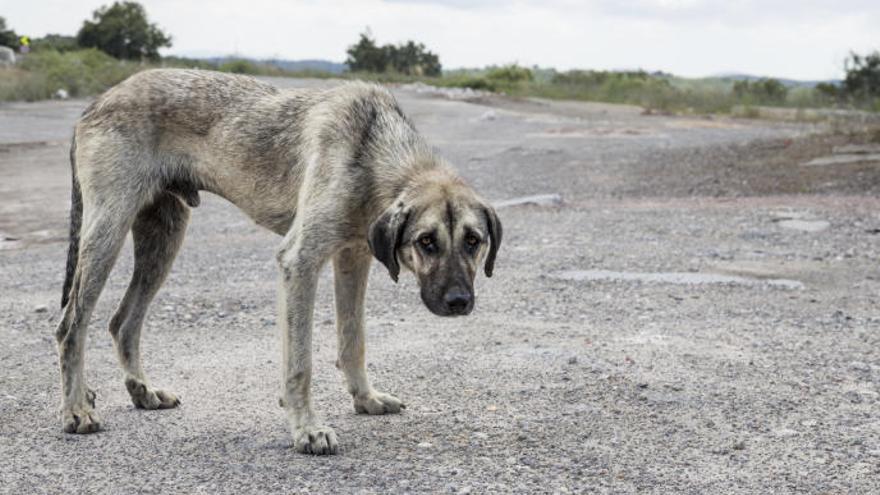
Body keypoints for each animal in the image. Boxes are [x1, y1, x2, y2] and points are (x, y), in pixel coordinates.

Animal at [56, 68, 502, 456]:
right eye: (426, 242)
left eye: (473, 241)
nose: (459, 302)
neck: (373, 150)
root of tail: (98, 101)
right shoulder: (299, 262)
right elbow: (300, 363)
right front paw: (307, 428)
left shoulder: (353, 258)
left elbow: (353, 340)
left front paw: (365, 398)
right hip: (107, 232)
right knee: (70, 325)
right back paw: (77, 409)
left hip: (162, 240)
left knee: (123, 322)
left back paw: (142, 391)